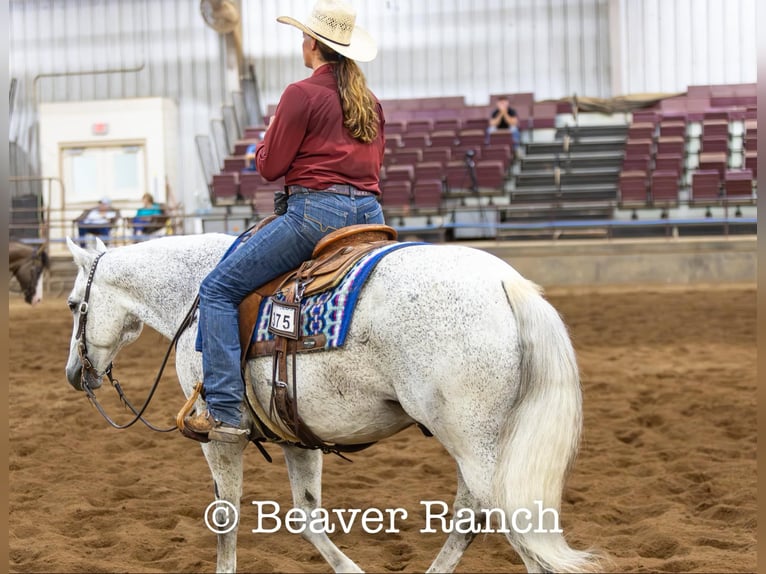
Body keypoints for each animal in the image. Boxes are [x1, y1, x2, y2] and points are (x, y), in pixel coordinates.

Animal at [63, 234, 604, 574]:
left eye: (71, 304)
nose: (73, 374)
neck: (194, 294)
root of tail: (507, 286)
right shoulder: (297, 436)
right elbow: (306, 516)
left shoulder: (219, 436)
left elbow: (226, 515)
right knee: (471, 517)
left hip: (475, 443)